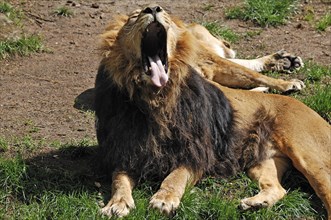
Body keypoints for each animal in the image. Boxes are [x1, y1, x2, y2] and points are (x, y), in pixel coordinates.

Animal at [95, 4, 331, 217]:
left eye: (163, 13)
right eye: (134, 16)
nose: (152, 8)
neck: (156, 100)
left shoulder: (198, 153)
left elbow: (175, 176)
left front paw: (164, 199)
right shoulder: (128, 152)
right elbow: (119, 180)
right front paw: (117, 204)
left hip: (309, 157)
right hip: (262, 161)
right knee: (278, 188)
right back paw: (255, 204)